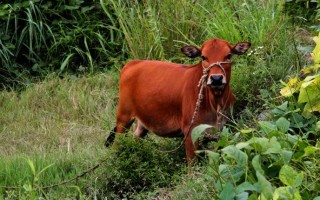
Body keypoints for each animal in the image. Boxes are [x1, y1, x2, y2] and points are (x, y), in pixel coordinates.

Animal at [106, 38, 251, 161]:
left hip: (142, 123)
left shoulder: (220, 129)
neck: (215, 102)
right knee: (116, 143)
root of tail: (132, 63)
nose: (216, 78)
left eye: (229, 55)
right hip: (123, 118)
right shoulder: (190, 131)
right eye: (203, 57)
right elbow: (192, 164)